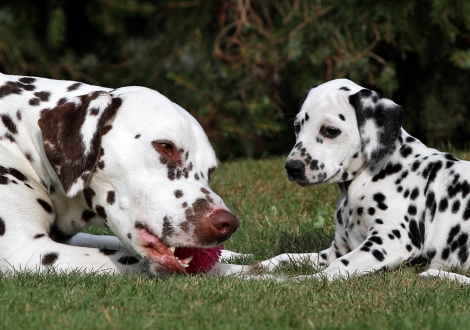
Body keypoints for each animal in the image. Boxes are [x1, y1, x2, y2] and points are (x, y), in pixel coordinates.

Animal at [0, 73, 248, 278]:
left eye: (211, 171)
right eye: (165, 146)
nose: (227, 223)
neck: (24, 140)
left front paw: (236, 254)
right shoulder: (27, 251)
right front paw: (248, 271)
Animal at [258, 78, 470, 284]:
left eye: (331, 131)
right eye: (297, 127)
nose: (292, 167)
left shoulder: (390, 242)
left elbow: (330, 271)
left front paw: (285, 281)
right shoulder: (337, 250)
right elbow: (287, 257)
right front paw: (257, 268)